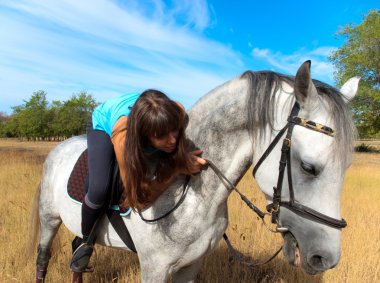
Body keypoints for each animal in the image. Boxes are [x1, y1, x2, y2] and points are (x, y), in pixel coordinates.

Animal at [31, 61, 360, 282]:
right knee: (44, 257)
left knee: (77, 251)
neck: (189, 194)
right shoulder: (154, 268)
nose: (326, 258)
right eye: (308, 167)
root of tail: (60, 147)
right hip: (49, 219)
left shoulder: (191, 266)